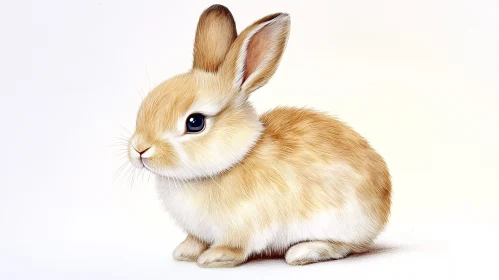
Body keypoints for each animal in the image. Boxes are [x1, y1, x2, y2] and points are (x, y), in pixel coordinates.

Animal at [128, 3, 390, 266]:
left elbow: (238, 246)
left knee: (345, 247)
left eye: (195, 122)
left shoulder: (248, 225)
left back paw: (303, 252)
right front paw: (185, 252)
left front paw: (215, 257)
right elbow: (196, 239)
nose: (139, 149)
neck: (231, 161)